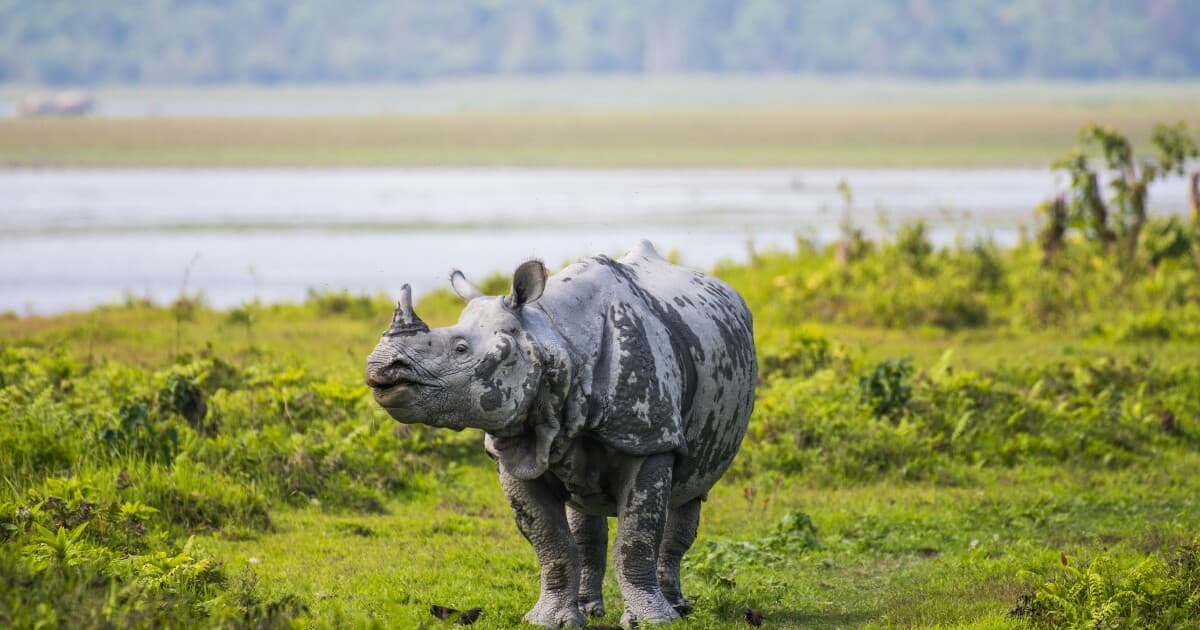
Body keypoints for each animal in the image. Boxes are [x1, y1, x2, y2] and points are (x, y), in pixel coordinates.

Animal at [365, 241, 756, 627]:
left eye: (460, 349)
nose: (380, 368)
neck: (553, 338)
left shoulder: (649, 438)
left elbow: (636, 539)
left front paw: (651, 621)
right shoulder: (515, 448)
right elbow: (550, 541)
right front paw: (548, 620)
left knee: (690, 494)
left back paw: (677, 608)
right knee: (585, 512)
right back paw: (590, 609)